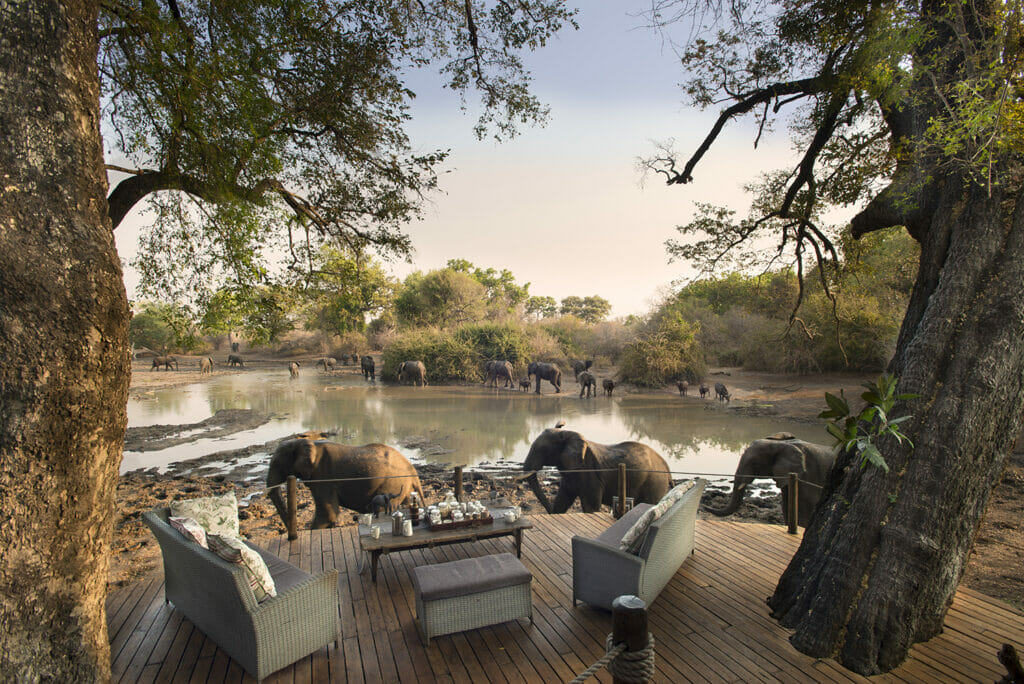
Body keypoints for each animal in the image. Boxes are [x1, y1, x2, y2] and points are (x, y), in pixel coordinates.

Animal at [268, 440, 423, 532]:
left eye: (276, 464)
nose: (290, 533)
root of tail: (413, 471)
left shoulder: (323, 475)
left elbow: (327, 515)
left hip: (392, 483)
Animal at [520, 421, 671, 511]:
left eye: (542, 450)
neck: (567, 433)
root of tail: (667, 468)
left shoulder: (590, 472)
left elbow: (590, 507)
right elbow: (562, 500)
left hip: (655, 482)